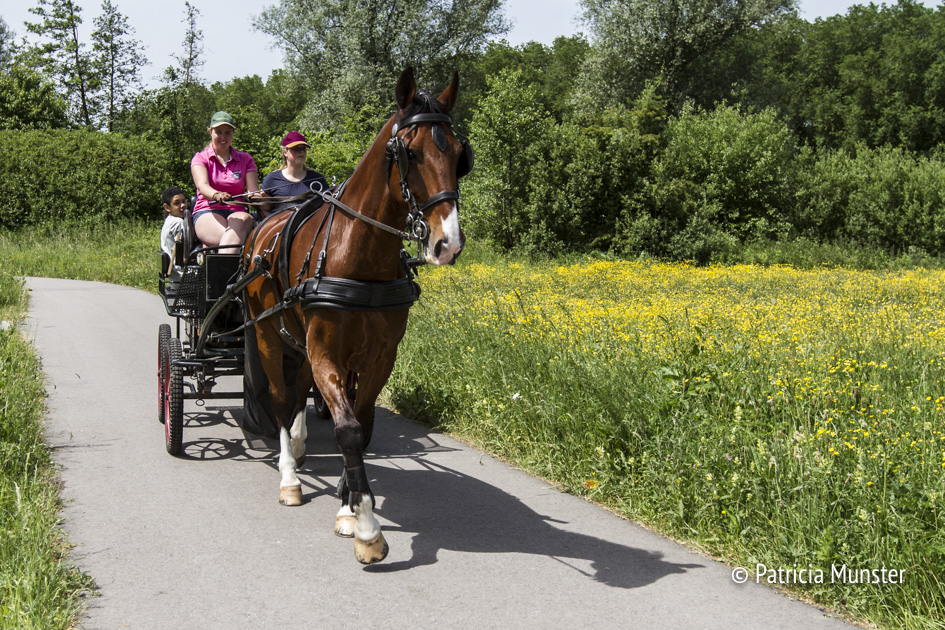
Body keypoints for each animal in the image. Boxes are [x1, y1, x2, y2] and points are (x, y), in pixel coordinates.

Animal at [240, 67, 469, 564]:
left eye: (460, 155)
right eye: (410, 152)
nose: (447, 243)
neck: (357, 254)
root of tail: (265, 225)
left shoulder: (379, 354)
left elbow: (359, 429)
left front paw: (348, 506)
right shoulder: (325, 347)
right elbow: (345, 429)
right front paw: (367, 528)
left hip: (300, 337)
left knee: (300, 389)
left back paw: (301, 446)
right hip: (268, 333)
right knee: (282, 396)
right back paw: (289, 475)